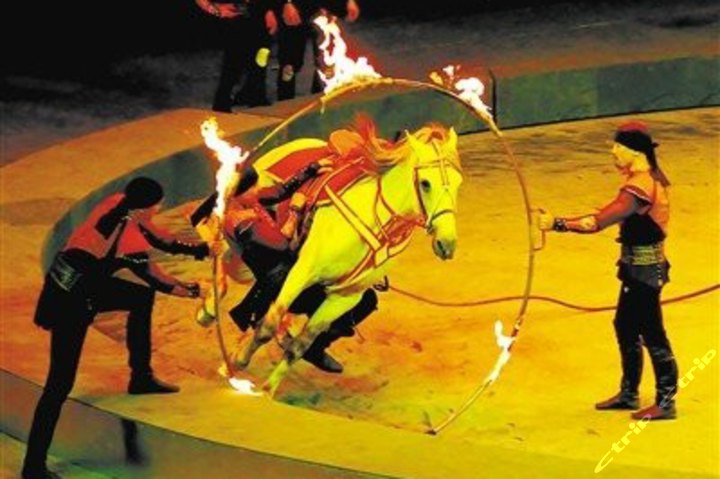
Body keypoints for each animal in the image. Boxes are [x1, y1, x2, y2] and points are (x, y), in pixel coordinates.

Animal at [234, 118, 464, 396]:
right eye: (426, 183)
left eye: (459, 183)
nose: (447, 244)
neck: (373, 218)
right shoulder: (302, 271)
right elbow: (268, 324)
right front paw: (236, 362)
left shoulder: (344, 298)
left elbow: (300, 346)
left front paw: (268, 390)